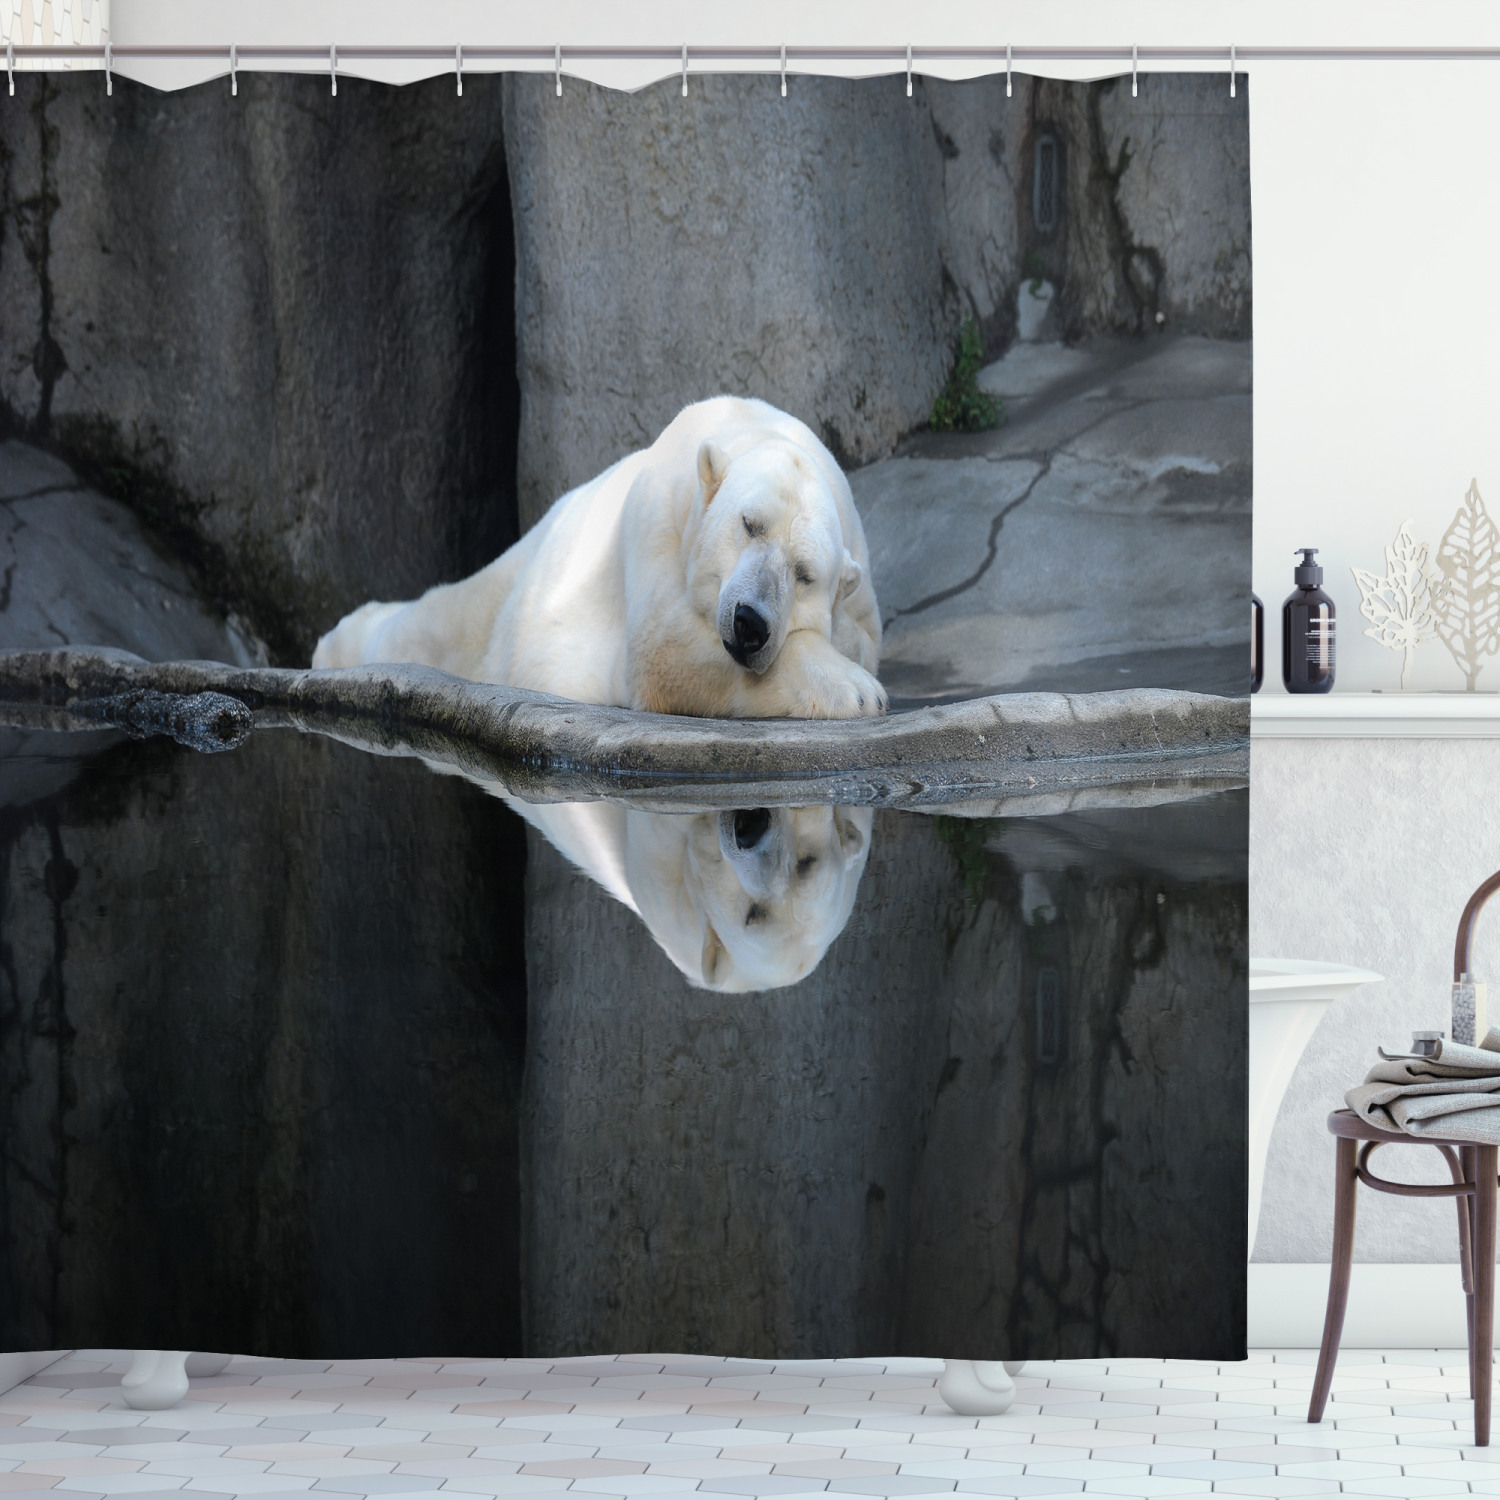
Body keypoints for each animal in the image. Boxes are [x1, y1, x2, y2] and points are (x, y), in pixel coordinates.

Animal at [312, 395, 886, 719]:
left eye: (804, 574)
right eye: (749, 524)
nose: (749, 623)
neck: (748, 427)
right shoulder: (660, 518)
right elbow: (661, 653)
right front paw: (858, 692)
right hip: (506, 600)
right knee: (431, 624)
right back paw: (334, 644)